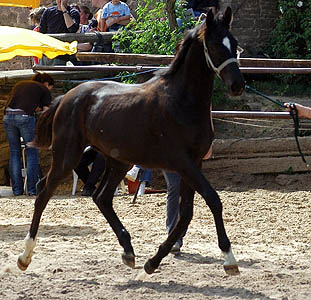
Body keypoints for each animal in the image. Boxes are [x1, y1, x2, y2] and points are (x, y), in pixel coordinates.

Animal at [17, 7, 246, 274]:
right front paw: (229, 258)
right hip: (67, 156)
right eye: (216, 45)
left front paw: (153, 261)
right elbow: (212, 200)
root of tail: (66, 98)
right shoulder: (182, 163)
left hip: (117, 161)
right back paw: (25, 256)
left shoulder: (195, 163)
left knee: (102, 198)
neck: (180, 101)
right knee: (43, 191)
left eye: (235, 44)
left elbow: (186, 213)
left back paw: (128, 251)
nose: (238, 85)